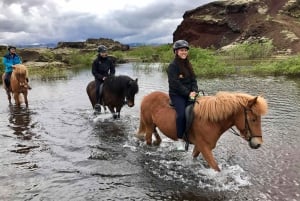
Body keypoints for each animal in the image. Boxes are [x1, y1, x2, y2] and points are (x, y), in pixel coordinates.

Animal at [136, 91, 268, 171]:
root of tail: (147, 97)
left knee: (156, 136)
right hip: (148, 125)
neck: (211, 121)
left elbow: (194, 158)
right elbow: (216, 168)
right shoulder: (205, 147)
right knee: (148, 140)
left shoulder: (199, 146)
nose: (258, 143)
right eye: (253, 119)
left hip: (153, 125)